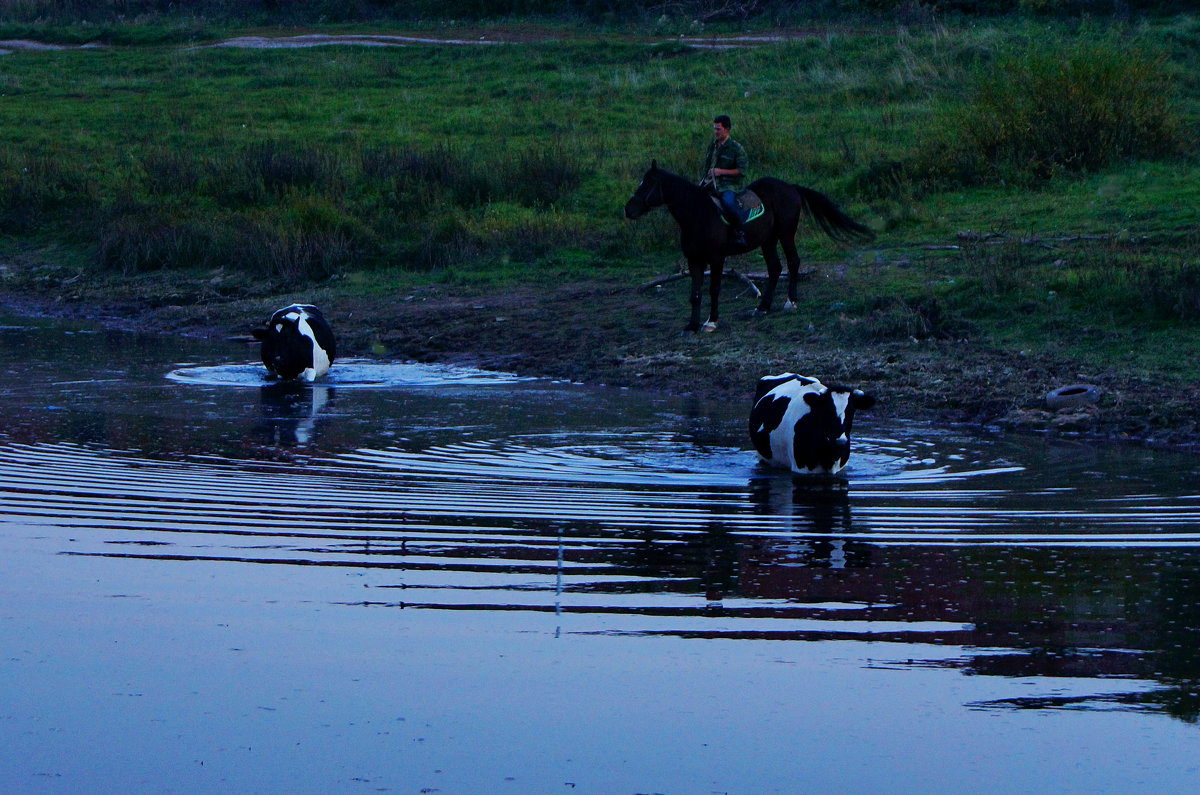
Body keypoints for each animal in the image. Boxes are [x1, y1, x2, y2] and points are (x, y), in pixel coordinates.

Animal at [619, 162, 873, 333]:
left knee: (793, 262)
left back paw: (790, 302)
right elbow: (695, 294)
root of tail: (790, 187)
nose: (628, 209)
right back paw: (763, 306)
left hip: (786, 234)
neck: (698, 215)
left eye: (647, 184)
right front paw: (691, 325)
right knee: (774, 268)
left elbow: (713, 290)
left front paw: (711, 321)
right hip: (768, 240)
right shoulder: (695, 260)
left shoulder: (716, 258)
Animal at [744, 374, 878, 475]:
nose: (840, 441)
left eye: (851, 411)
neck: (829, 455)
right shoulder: (802, 469)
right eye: (827, 410)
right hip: (763, 457)